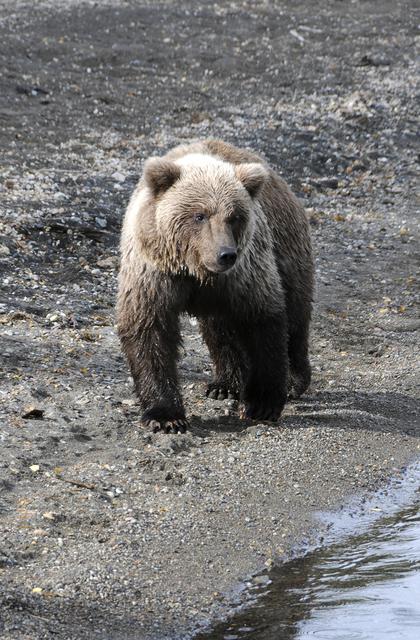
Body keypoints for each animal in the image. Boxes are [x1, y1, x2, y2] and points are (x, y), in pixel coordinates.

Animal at [117, 139, 314, 433]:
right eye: (200, 215)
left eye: (234, 216)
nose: (226, 254)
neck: (196, 271)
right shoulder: (153, 274)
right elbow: (149, 330)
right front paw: (166, 416)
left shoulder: (246, 273)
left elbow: (263, 322)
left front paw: (262, 403)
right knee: (219, 329)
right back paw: (224, 384)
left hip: (288, 250)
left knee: (296, 315)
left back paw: (294, 379)